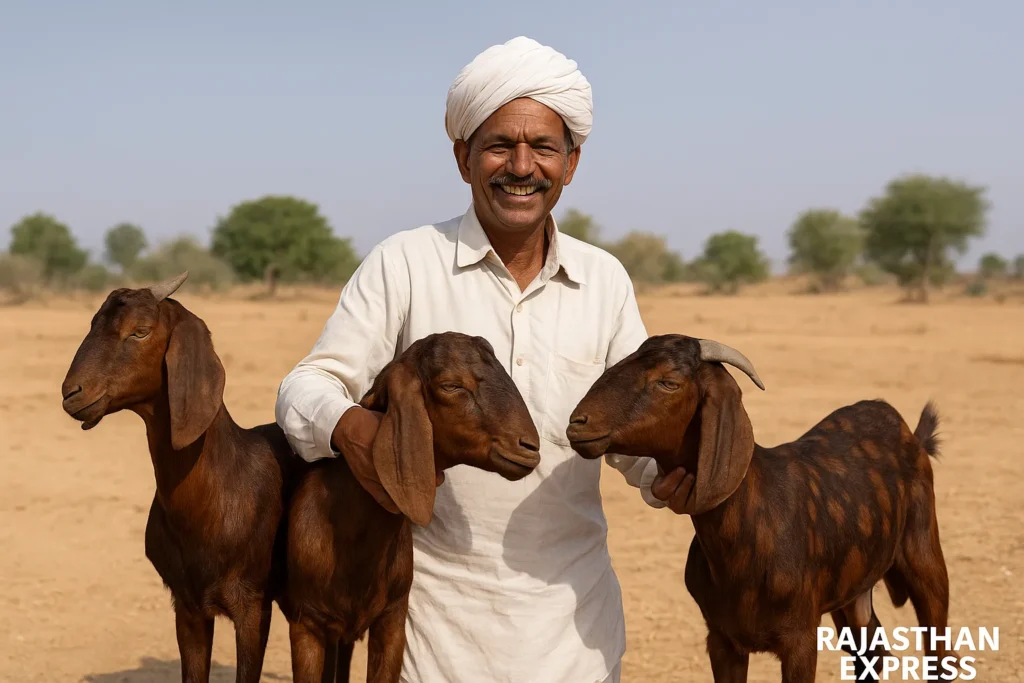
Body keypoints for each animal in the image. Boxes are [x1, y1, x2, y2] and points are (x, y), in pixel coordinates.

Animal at [566, 334, 950, 683]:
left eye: (668, 382)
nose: (578, 423)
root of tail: (913, 437)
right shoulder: (722, 639)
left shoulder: (800, 639)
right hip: (851, 593)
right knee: (872, 652)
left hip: (925, 558)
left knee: (938, 652)